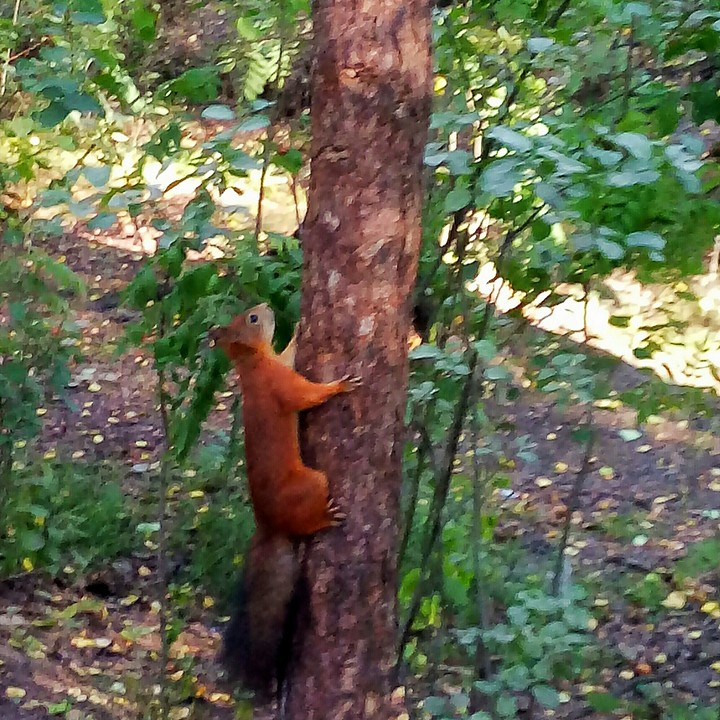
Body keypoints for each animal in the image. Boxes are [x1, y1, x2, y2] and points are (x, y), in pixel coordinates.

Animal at [210, 303, 358, 700]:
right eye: (252, 320)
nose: (264, 307)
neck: (253, 366)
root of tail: (267, 522)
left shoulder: (281, 364)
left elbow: (290, 354)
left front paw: (298, 331)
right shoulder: (282, 385)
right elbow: (306, 395)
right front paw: (339, 386)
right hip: (313, 483)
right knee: (308, 521)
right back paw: (325, 517)